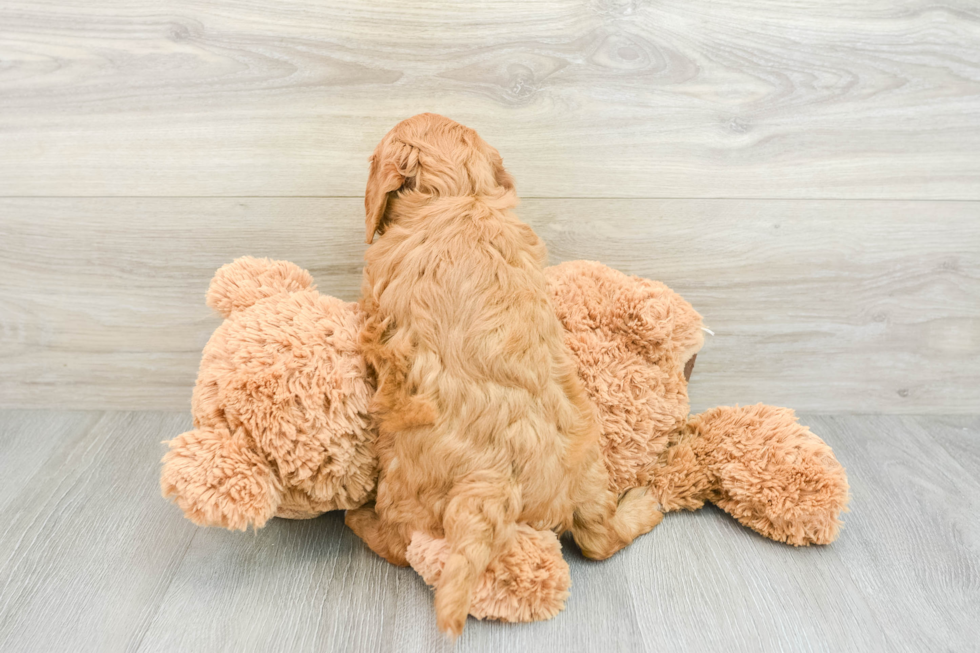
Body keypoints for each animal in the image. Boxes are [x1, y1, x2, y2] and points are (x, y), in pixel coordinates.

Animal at [344, 114, 660, 636]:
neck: (461, 197)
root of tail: (494, 482)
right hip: (589, 462)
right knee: (599, 537)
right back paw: (643, 506)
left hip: (402, 487)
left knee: (400, 546)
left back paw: (358, 519)